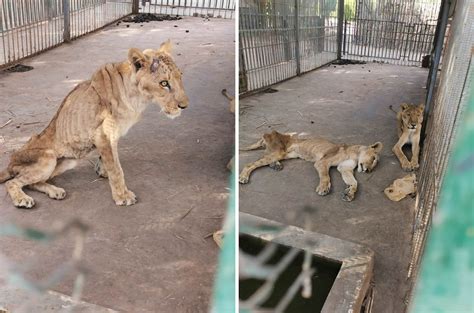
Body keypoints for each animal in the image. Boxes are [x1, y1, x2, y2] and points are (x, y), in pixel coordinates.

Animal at [0, 40, 189, 207]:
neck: (138, 98)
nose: (184, 106)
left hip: (68, 161)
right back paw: (23, 199)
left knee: (33, 182)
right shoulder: (104, 134)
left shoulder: (110, 135)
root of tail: (10, 162)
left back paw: (55, 191)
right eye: (164, 83)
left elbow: (109, 160)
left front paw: (102, 171)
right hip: (48, 157)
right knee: (13, 182)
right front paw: (122, 196)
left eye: (180, 77)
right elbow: (116, 168)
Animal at [239, 130, 384, 201]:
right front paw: (323, 188)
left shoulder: (344, 168)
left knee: (267, 158)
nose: (368, 170)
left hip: (287, 154)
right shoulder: (322, 162)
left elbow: (354, 182)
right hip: (278, 151)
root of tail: (269, 133)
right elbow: (325, 176)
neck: (355, 154)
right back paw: (243, 177)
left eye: (374, 165)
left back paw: (276, 165)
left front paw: (349, 193)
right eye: (373, 158)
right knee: (250, 164)